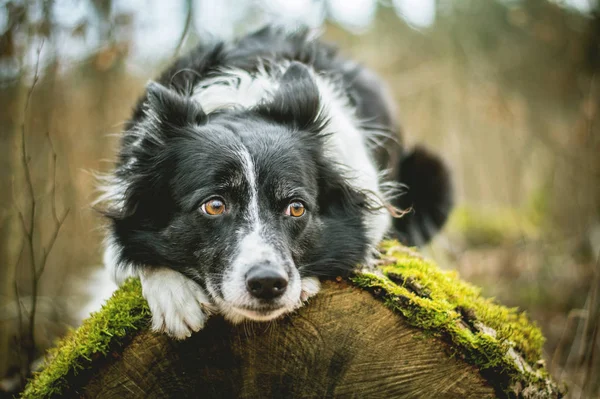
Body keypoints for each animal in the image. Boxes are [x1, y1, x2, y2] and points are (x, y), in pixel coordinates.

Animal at [98, 26, 452, 340]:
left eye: (296, 208)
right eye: (214, 205)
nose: (268, 283)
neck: (241, 106)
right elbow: (124, 255)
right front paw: (174, 295)